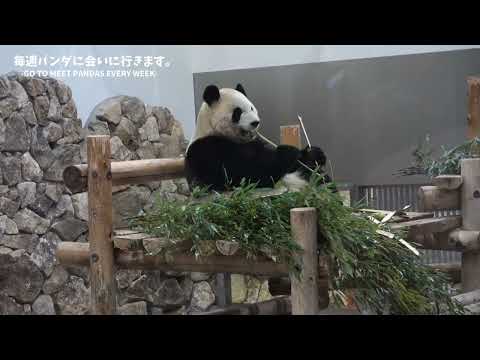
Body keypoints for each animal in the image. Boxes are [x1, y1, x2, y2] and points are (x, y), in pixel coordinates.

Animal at [185, 83, 334, 193]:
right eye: (238, 112)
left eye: (251, 108)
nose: (255, 123)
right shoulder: (207, 148)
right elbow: (243, 173)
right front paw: (287, 152)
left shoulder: (256, 141)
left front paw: (314, 153)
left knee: (319, 178)